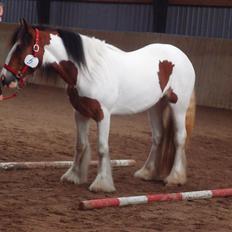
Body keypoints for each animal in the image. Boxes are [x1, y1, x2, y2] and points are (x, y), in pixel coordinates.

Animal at [0, 20, 196, 193]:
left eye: (19, 47)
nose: (4, 78)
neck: (88, 71)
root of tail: (182, 56)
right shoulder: (80, 113)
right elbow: (80, 145)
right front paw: (73, 176)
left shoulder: (103, 115)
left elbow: (102, 148)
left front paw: (102, 184)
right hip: (155, 106)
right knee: (158, 137)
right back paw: (146, 173)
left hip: (178, 106)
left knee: (179, 138)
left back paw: (174, 178)